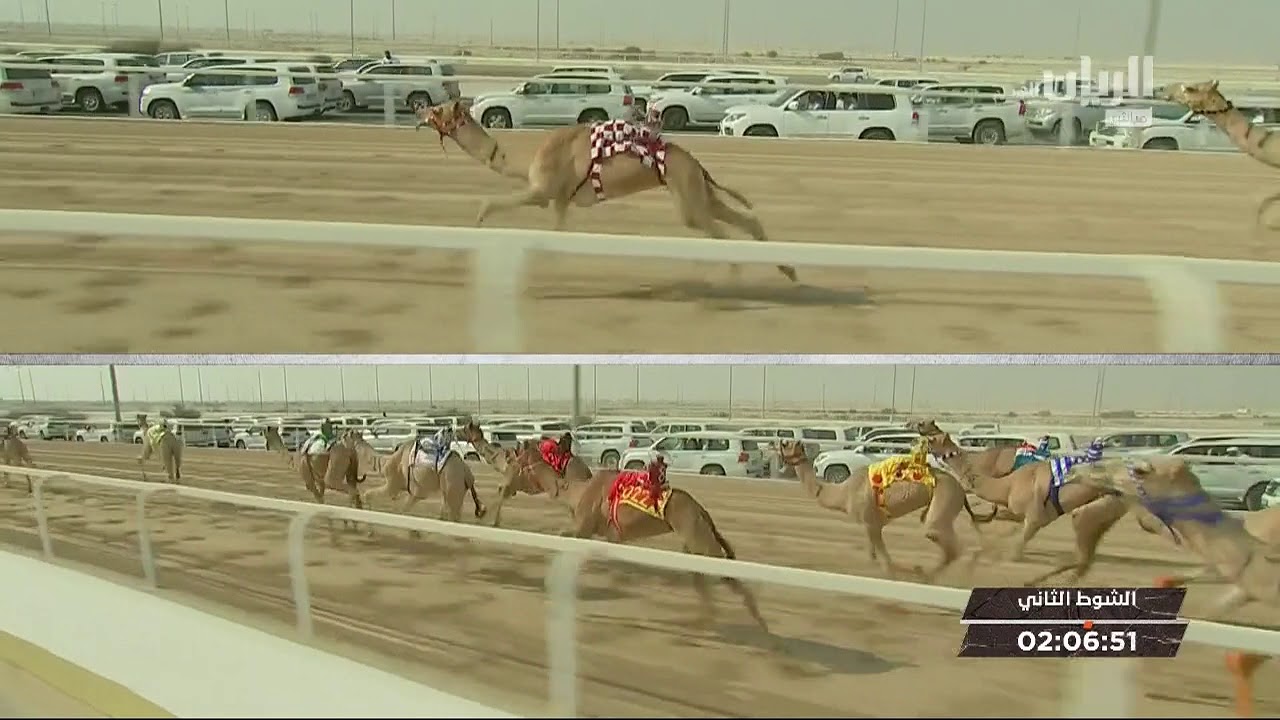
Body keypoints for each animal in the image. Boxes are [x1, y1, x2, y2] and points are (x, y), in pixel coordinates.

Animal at [415, 100, 798, 283]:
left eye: (439, 110)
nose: (419, 110)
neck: (526, 160)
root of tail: (697, 163)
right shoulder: (561, 201)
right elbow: (558, 236)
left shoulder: (544, 192)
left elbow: (490, 203)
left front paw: (476, 228)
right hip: (698, 190)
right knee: (744, 219)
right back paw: (788, 271)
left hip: (686, 195)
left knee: (719, 231)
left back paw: (735, 276)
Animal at [457, 421, 592, 527]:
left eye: (465, 428)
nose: (455, 431)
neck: (504, 461)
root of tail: (587, 471)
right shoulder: (513, 486)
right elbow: (500, 495)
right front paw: (491, 519)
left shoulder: (511, 482)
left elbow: (499, 496)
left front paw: (484, 517)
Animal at [502, 440, 773, 638]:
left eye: (514, 461)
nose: (503, 488)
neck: (575, 491)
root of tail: (701, 509)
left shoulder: (583, 529)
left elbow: (563, 539)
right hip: (692, 543)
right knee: (704, 581)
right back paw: (705, 624)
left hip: (698, 537)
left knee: (728, 575)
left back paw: (764, 630)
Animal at [777, 438, 996, 582]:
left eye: (786, 444)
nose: (780, 441)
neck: (842, 493)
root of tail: (962, 490)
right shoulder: (874, 525)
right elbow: (874, 558)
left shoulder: (870, 523)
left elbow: (885, 562)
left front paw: (904, 572)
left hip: (944, 501)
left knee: (948, 543)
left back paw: (930, 574)